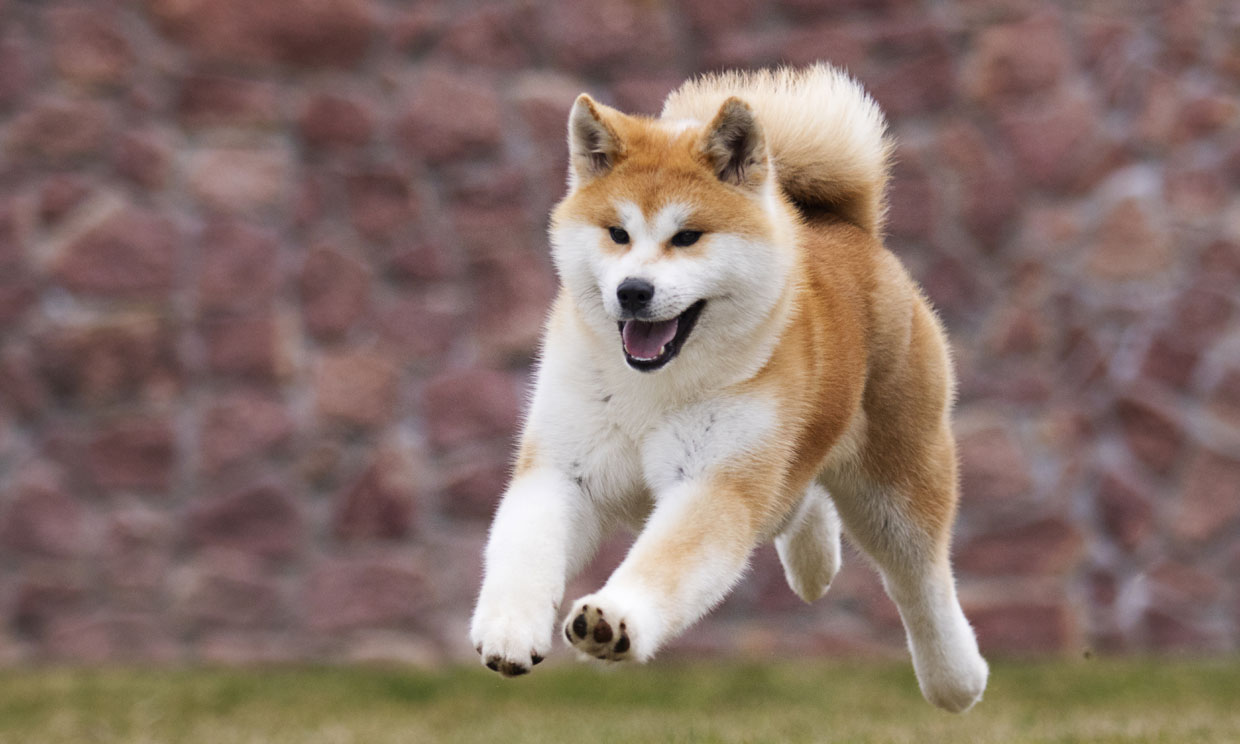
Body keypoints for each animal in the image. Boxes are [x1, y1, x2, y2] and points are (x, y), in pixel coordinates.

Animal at [468, 65, 992, 714]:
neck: (651, 391)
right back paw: (815, 562)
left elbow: (666, 563)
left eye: (687, 236)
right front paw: (508, 629)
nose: (633, 291)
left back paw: (956, 679)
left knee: (921, 582)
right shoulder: (565, 466)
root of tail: (849, 230)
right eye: (617, 233)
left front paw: (615, 620)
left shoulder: (715, 482)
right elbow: (525, 550)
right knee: (801, 495)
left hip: (897, 483)